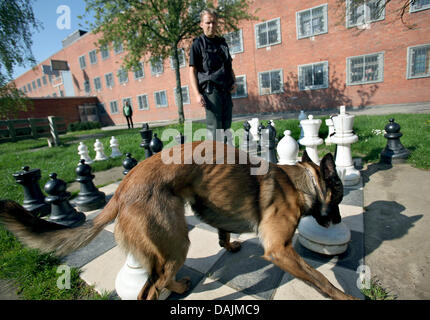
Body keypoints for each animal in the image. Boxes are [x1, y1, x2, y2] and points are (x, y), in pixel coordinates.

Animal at [0, 141, 356, 300]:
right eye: (339, 199)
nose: (336, 222)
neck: (301, 183)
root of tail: (122, 189)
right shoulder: (280, 250)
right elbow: (320, 278)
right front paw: (343, 296)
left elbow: (224, 231)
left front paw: (229, 244)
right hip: (177, 241)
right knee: (148, 290)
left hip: (169, 247)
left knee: (158, 279)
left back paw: (180, 285)